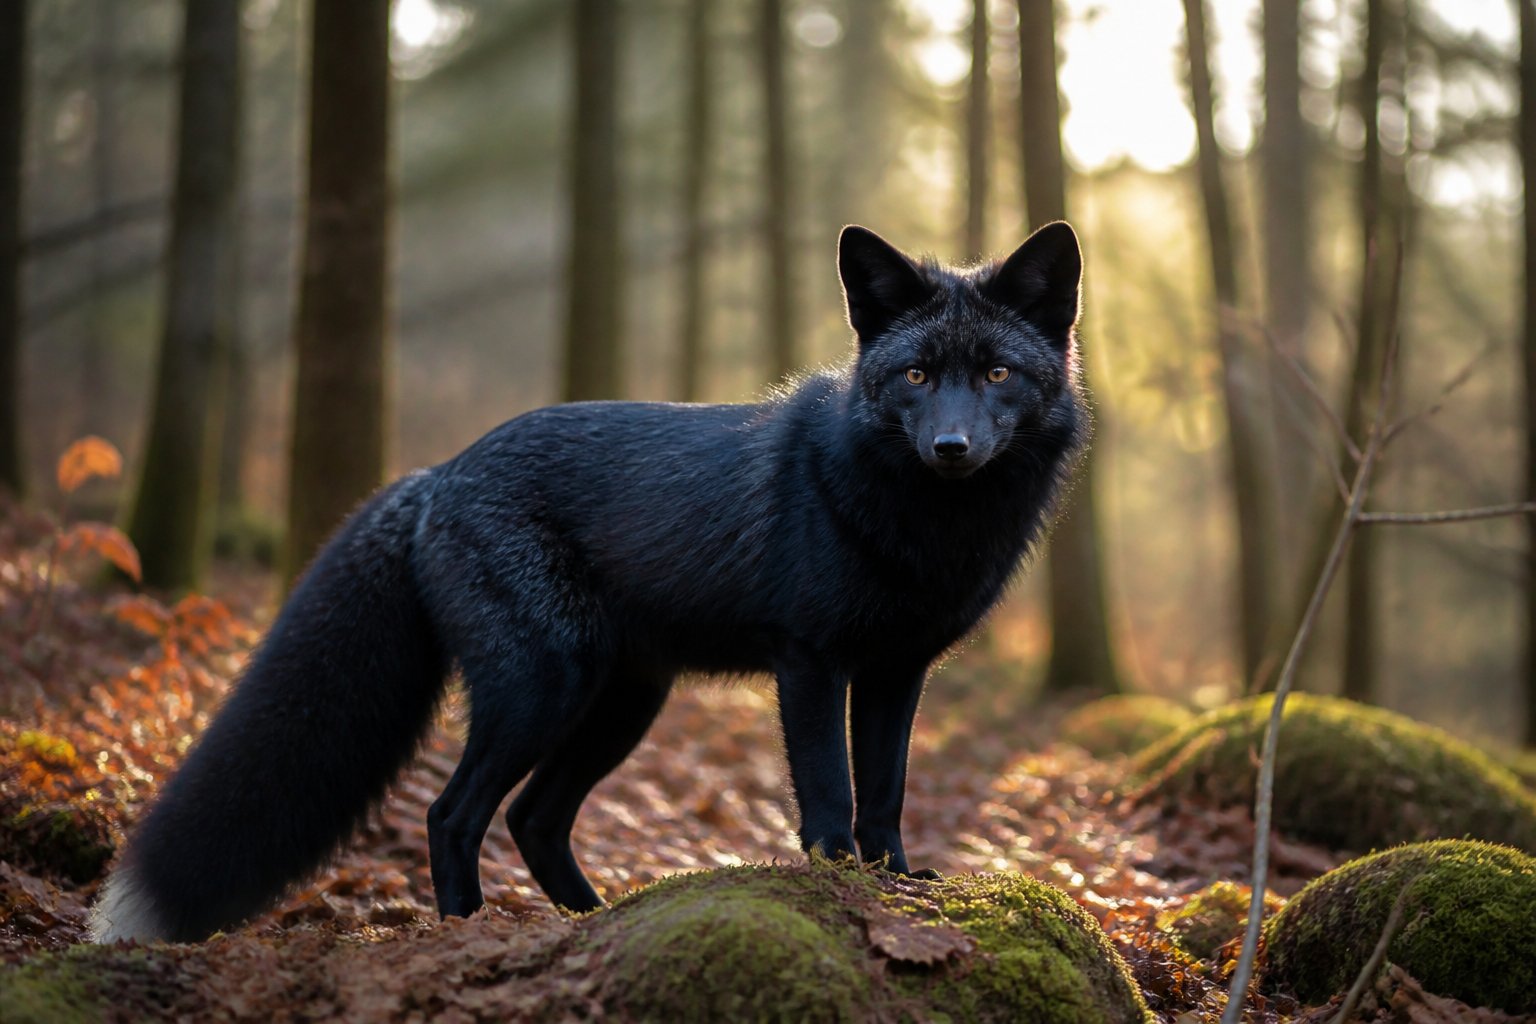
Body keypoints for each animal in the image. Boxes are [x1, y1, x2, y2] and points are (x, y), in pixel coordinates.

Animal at [89, 221, 1089, 943]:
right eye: (916, 374)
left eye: (997, 372)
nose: (951, 447)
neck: (923, 529)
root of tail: (438, 475)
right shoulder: (811, 661)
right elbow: (830, 793)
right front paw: (839, 881)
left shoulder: (895, 669)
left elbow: (886, 790)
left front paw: (895, 883)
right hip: (542, 689)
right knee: (455, 815)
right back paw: (472, 931)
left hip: (619, 705)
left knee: (534, 819)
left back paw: (593, 920)